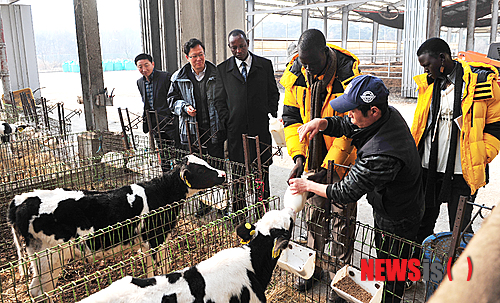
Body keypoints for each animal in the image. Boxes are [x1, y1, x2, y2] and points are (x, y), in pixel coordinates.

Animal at [8, 156, 225, 298]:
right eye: (202, 170)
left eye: (206, 163)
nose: (223, 173)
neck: (162, 193)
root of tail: (20, 200)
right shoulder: (155, 239)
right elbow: (161, 268)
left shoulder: (149, 243)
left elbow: (151, 272)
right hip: (51, 257)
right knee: (42, 290)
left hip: (39, 257)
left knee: (36, 289)